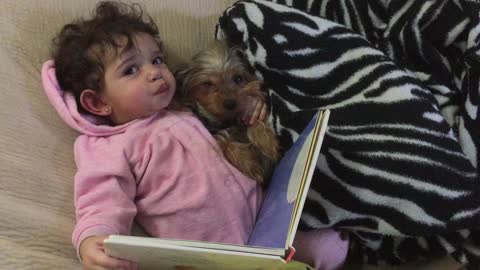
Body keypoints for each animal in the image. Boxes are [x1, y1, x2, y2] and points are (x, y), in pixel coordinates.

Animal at [177, 41, 282, 186]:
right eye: (207, 84)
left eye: (238, 78)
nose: (230, 103)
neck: (225, 121)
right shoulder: (211, 132)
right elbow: (223, 140)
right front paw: (249, 163)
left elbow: (254, 122)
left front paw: (267, 143)